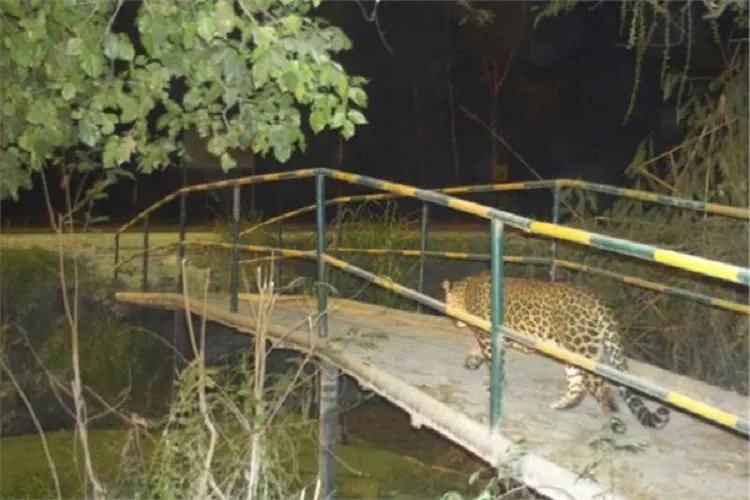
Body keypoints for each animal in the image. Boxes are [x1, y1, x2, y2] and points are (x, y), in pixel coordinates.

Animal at [441, 271, 670, 432]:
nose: (453, 322)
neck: (466, 290)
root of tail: (598, 304)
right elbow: (480, 350)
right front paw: (472, 360)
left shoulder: (488, 336)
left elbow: (492, 360)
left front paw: (494, 382)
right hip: (573, 353)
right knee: (577, 385)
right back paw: (562, 405)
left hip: (584, 351)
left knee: (603, 390)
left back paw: (612, 425)